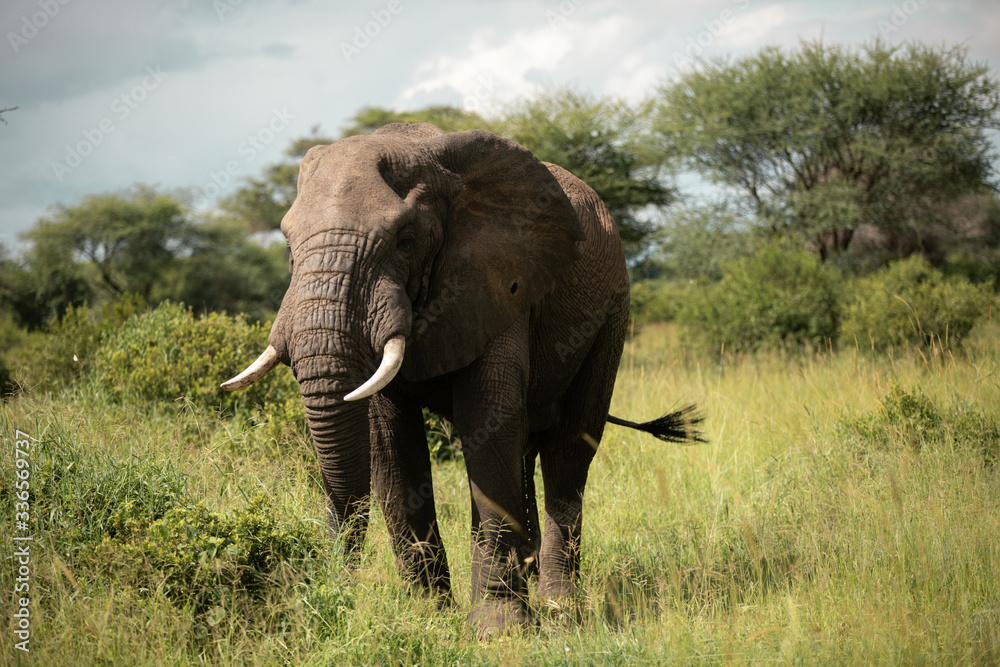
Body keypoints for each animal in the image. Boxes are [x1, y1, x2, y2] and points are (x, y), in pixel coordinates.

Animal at [221, 122, 701, 637]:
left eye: (404, 240)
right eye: (287, 244)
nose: (329, 596)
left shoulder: (499, 281)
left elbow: (487, 426)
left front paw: (498, 630)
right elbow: (391, 443)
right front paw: (428, 616)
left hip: (612, 313)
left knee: (568, 450)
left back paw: (558, 607)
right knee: (526, 448)